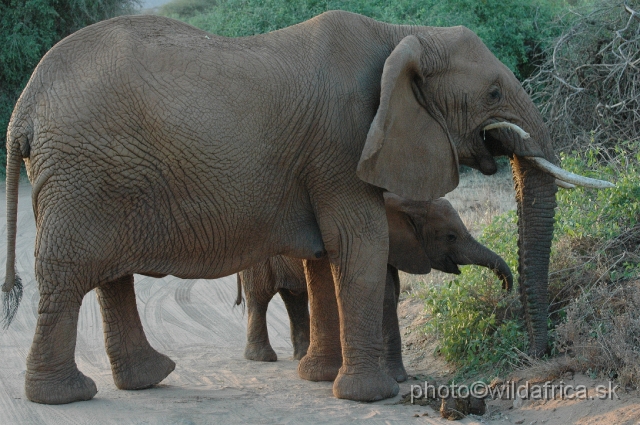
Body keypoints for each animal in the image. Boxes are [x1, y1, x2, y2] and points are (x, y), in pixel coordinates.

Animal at [238, 194, 512, 380]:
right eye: (450, 237)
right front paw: (395, 378)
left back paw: (300, 357)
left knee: (293, 298)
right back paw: (263, 358)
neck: (404, 202)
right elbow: (384, 296)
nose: (504, 293)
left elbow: (393, 292)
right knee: (260, 297)